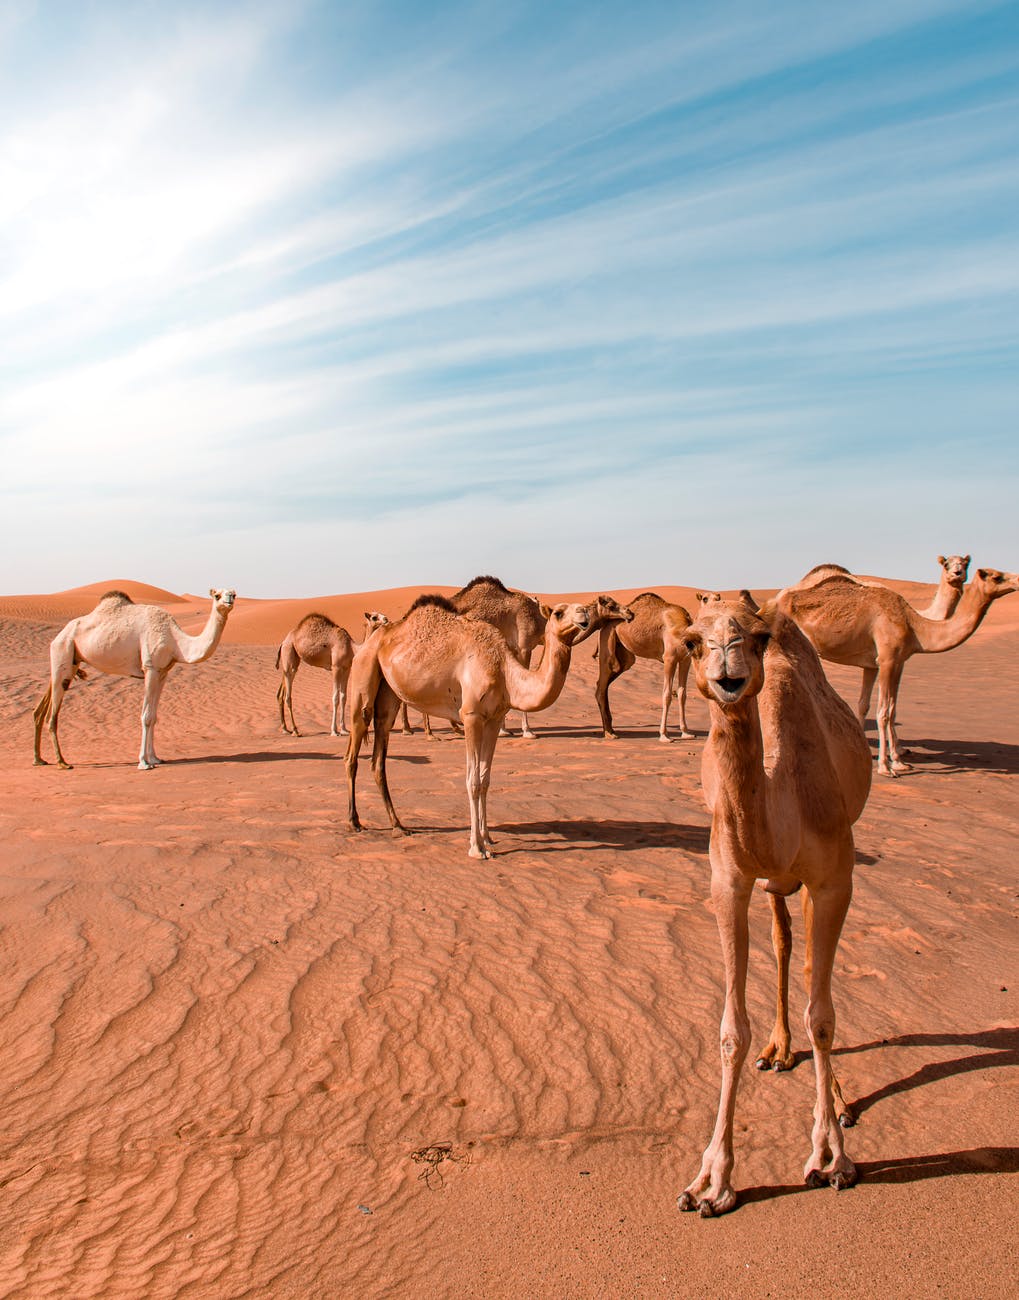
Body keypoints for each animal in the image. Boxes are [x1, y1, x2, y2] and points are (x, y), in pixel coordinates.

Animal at [33, 588, 237, 771]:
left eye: (233, 593)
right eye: (217, 595)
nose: (229, 598)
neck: (175, 641)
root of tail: (58, 636)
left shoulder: (163, 672)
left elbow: (154, 716)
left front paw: (155, 758)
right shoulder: (150, 668)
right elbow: (146, 716)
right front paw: (143, 762)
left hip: (71, 661)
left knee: (44, 703)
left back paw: (39, 759)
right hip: (63, 649)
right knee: (53, 715)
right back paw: (62, 762)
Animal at [345, 593, 630, 858]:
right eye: (559, 613)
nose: (583, 613)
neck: (505, 671)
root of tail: (371, 641)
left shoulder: (493, 719)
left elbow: (485, 779)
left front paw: (488, 838)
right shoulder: (471, 715)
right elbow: (472, 781)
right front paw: (476, 848)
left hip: (389, 697)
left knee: (378, 758)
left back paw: (398, 825)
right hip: (363, 679)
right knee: (353, 752)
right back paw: (354, 822)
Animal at [595, 592, 696, 742]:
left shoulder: (686, 659)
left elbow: (682, 694)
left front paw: (686, 732)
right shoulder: (669, 658)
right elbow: (667, 695)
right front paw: (664, 735)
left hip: (625, 657)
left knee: (605, 683)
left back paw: (611, 730)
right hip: (606, 642)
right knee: (601, 687)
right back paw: (608, 733)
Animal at [677, 598, 872, 1216]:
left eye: (757, 638)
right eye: (693, 641)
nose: (729, 672)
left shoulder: (834, 877)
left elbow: (824, 1015)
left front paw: (830, 1156)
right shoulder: (729, 880)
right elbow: (730, 1031)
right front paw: (710, 1181)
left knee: (809, 970)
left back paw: (838, 1102)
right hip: (771, 885)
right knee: (784, 942)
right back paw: (779, 1050)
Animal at [777, 566, 1019, 775]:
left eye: (965, 563)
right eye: (996, 576)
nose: (1017, 579)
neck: (915, 625)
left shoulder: (886, 663)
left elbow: (884, 708)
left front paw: (897, 760)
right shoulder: (888, 659)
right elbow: (883, 712)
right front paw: (885, 766)